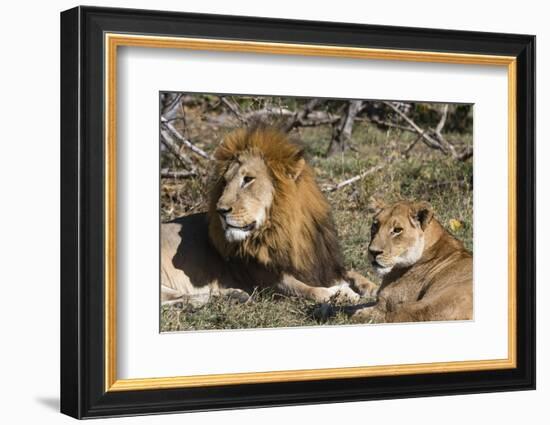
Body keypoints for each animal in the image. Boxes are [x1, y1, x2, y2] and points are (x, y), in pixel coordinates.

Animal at [162, 125, 366, 304]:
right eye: (225, 182)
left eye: (248, 179)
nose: (221, 210)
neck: (287, 231)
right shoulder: (269, 282)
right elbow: (310, 290)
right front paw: (342, 293)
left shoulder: (324, 265)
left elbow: (355, 274)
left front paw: (367, 286)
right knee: (176, 298)